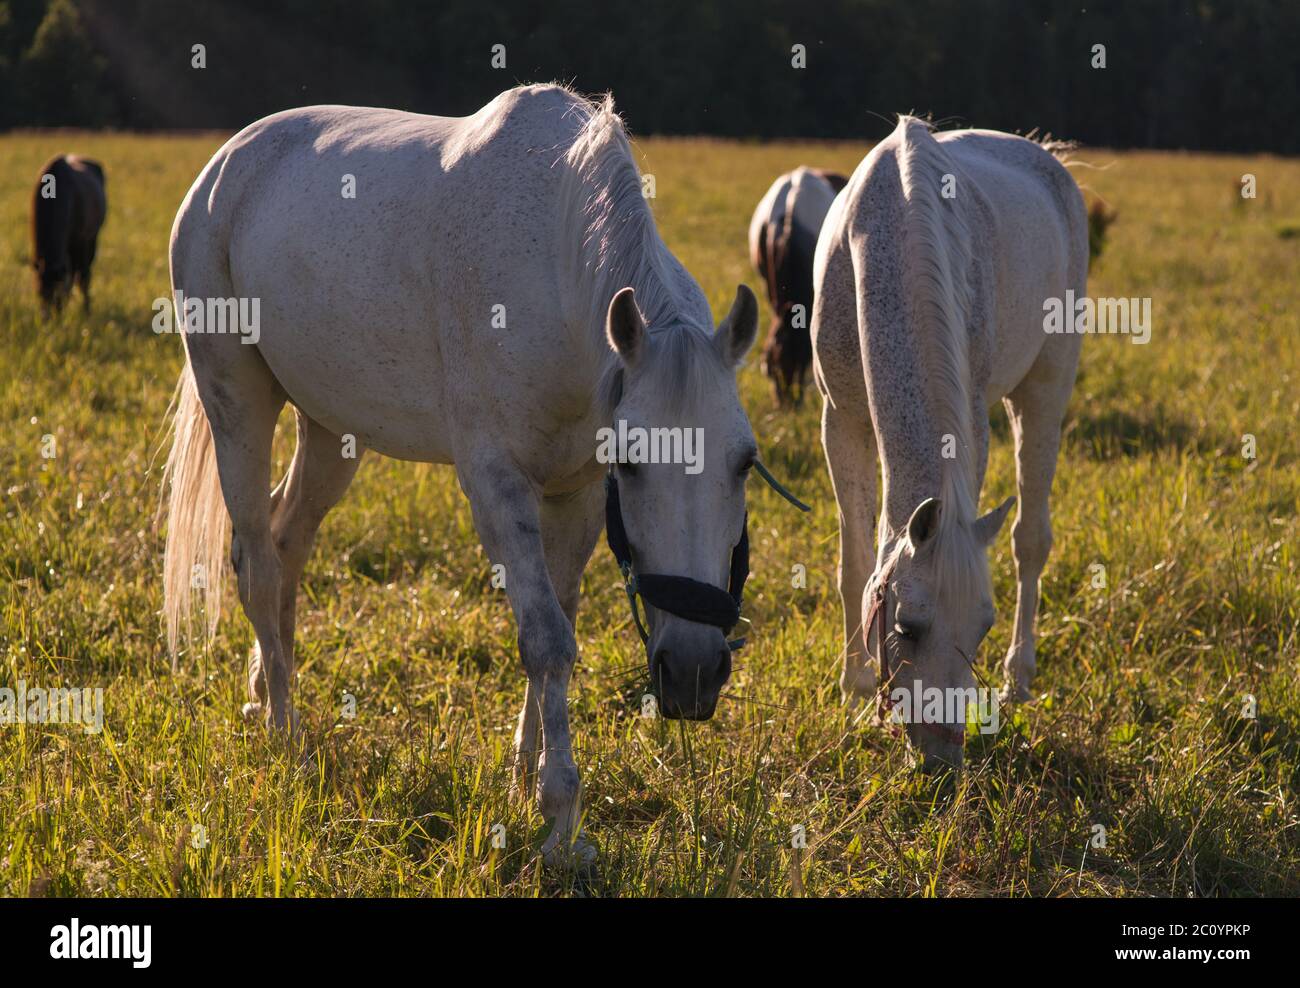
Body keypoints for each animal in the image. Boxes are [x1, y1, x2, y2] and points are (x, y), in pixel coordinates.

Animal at [31, 154, 106, 314]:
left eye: (58, 295)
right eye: (39, 293)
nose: (49, 318)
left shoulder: (82, 241)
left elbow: (82, 277)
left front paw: (86, 311)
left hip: (92, 239)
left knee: (83, 274)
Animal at [160, 85, 760, 865]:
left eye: (744, 462)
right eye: (633, 460)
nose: (693, 673)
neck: (557, 271)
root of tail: (223, 167)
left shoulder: (574, 492)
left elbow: (560, 625)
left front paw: (525, 778)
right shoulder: (497, 485)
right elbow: (545, 638)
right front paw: (562, 821)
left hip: (330, 431)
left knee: (287, 544)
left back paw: (266, 690)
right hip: (237, 400)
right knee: (257, 563)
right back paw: (284, 735)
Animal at [811, 116, 1086, 768]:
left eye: (981, 629)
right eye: (907, 627)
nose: (941, 760)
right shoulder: (841, 420)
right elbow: (853, 560)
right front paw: (852, 690)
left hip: (1047, 386)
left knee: (1030, 539)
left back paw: (1018, 680)